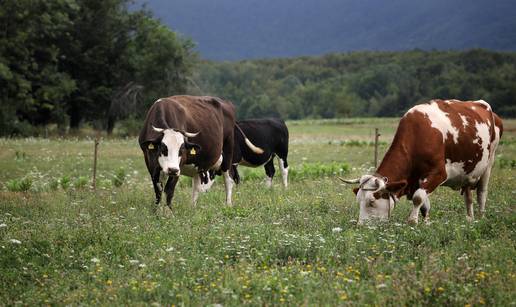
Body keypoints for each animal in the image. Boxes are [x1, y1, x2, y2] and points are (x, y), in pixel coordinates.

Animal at [340, 100, 502, 225]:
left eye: (372, 201)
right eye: (358, 201)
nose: (361, 226)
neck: (418, 135)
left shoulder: (439, 173)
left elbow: (418, 198)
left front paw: (412, 222)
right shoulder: (416, 180)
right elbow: (425, 205)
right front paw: (425, 223)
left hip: (489, 162)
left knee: (482, 192)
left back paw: (481, 218)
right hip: (468, 172)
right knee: (468, 196)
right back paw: (470, 219)